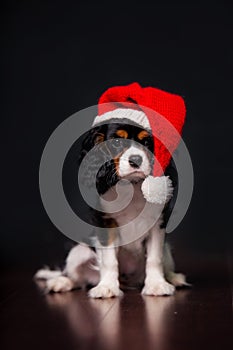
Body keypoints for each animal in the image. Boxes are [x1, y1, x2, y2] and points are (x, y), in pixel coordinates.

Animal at [35, 118, 188, 298]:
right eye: (116, 142)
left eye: (146, 142)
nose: (136, 159)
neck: (132, 186)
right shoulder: (106, 222)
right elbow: (109, 260)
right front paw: (107, 286)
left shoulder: (158, 223)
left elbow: (154, 258)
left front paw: (156, 284)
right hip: (78, 252)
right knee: (76, 278)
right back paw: (61, 282)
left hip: (168, 252)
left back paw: (174, 278)